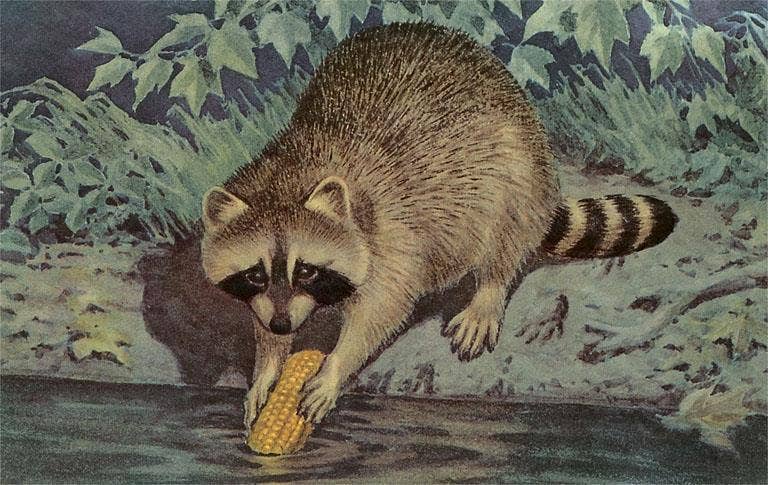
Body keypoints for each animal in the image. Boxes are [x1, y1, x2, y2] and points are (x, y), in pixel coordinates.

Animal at [200, 23, 677, 426]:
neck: (291, 174)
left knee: (506, 229)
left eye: (306, 270)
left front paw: (335, 366)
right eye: (256, 273)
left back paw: (489, 288)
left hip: (517, 165)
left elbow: (382, 309)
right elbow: (264, 317)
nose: (283, 325)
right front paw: (268, 363)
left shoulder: (391, 236)